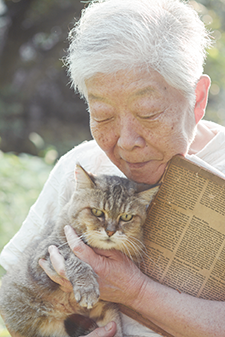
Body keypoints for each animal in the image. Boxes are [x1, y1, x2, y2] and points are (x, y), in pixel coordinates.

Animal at [0, 165, 158, 336]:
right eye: (97, 212)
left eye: (126, 217)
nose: (110, 232)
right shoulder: (42, 257)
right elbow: (75, 259)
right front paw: (87, 287)